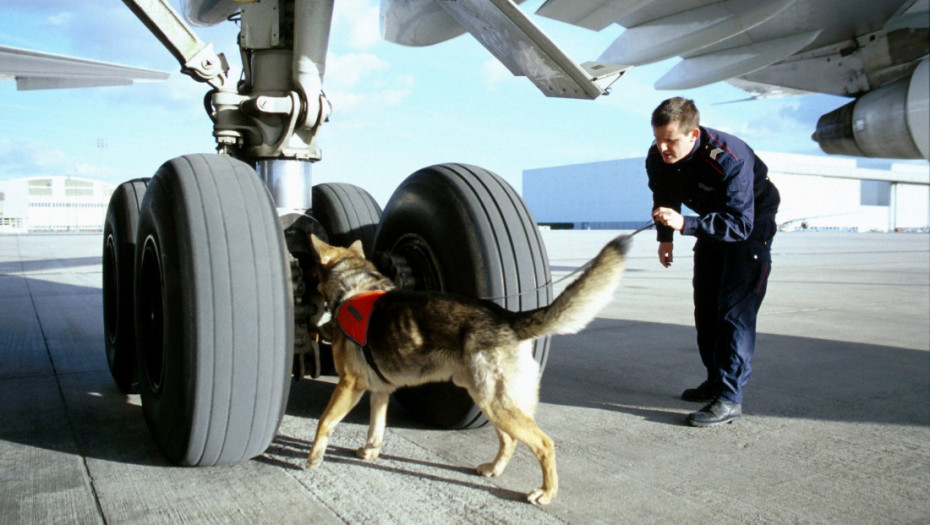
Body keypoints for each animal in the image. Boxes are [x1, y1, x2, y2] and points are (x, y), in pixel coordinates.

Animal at [304, 233, 632, 504]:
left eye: (311, 271)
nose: (305, 296)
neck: (354, 286)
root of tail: (508, 317)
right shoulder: (380, 391)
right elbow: (376, 427)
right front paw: (371, 451)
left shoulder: (349, 385)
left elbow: (324, 422)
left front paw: (313, 457)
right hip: (489, 401)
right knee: (510, 440)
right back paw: (494, 469)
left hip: (494, 402)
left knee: (544, 443)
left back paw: (546, 492)